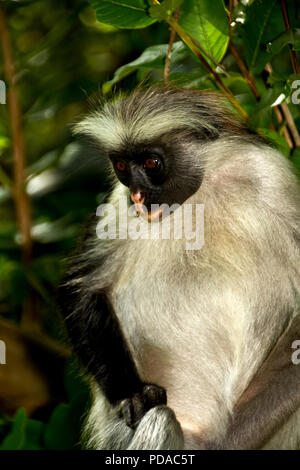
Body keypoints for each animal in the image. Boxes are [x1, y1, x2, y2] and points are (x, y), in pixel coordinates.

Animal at [58, 86, 300, 450]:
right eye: (121, 166)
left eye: (151, 162)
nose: (138, 195)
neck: (201, 194)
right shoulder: (118, 206)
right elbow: (80, 287)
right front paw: (133, 396)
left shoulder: (268, 174)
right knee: (161, 418)